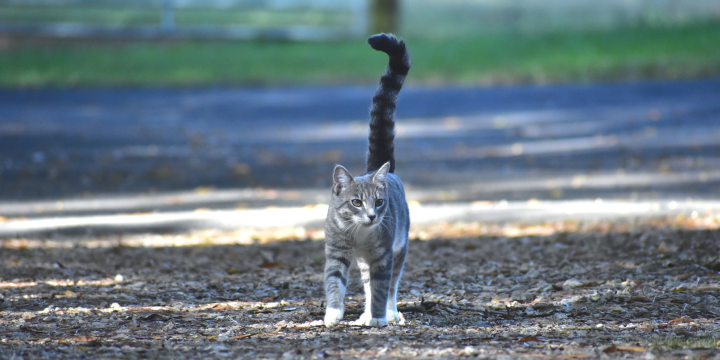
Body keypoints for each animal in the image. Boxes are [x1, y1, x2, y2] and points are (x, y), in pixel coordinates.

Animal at [322, 33, 410, 330]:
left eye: (379, 202)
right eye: (356, 202)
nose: (372, 216)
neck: (359, 233)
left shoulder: (384, 255)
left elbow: (382, 287)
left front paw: (379, 317)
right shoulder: (336, 251)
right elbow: (335, 282)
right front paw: (333, 313)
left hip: (400, 246)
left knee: (391, 285)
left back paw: (388, 313)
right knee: (368, 284)